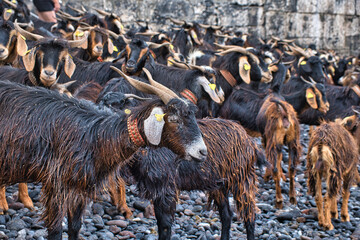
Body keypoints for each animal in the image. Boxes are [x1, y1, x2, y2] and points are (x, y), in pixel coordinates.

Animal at [0, 68, 207, 239]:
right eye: (174, 119)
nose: (202, 151)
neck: (96, 134)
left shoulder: (79, 187)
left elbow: (75, 226)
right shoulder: (56, 184)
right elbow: (55, 230)